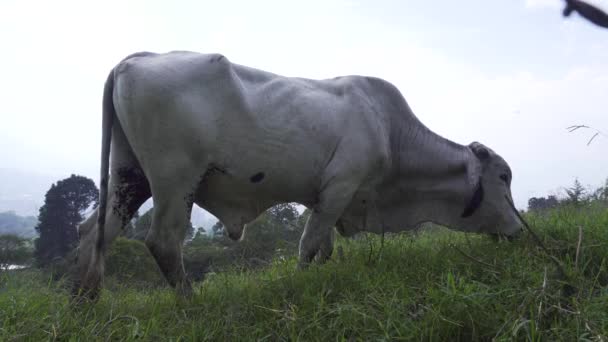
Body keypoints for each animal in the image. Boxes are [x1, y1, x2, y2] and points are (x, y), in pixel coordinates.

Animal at [75, 51, 524, 300]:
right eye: (503, 177)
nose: (521, 232)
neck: (391, 132)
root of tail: (136, 59)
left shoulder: (324, 198)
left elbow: (324, 249)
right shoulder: (340, 187)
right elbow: (308, 248)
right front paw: (300, 287)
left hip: (130, 175)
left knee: (95, 232)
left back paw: (85, 302)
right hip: (176, 178)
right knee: (163, 241)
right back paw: (191, 304)